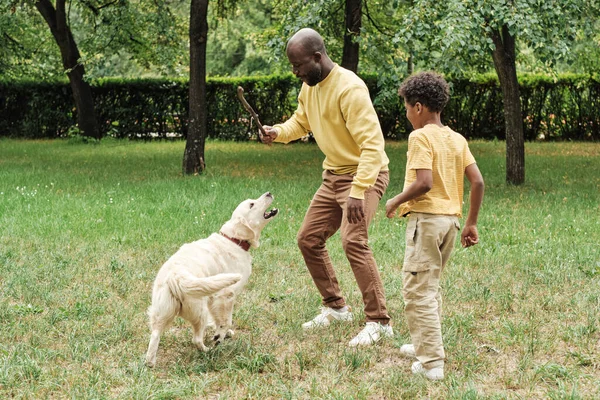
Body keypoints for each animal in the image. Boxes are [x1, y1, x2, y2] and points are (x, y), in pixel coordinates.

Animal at [145, 192, 278, 368]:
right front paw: (219, 335)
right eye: (251, 204)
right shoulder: (225, 296)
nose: (269, 193)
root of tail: (176, 277)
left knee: (154, 336)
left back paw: (150, 363)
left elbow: (218, 319)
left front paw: (224, 333)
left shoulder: (213, 298)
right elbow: (226, 320)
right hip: (200, 311)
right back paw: (207, 350)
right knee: (196, 339)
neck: (233, 239)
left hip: (162, 312)